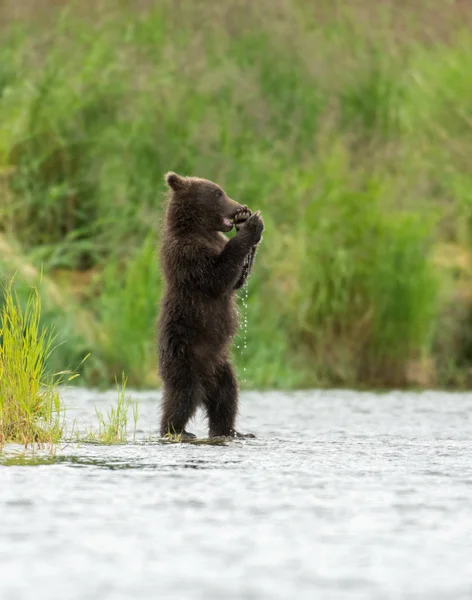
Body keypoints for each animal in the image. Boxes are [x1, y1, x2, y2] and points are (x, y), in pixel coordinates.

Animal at [158, 171, 262, 438]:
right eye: (218, 193)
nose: (238, 207)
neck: (199, 229)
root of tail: (206, 380)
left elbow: (236, 281)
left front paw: (249, 224)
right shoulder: (188, 254)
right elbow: (216, 277)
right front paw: (251, 226)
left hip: (221, 366)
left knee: (227, 396)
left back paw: (230, 430)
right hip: (184, 355)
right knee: (182, 395)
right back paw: (176, 430)